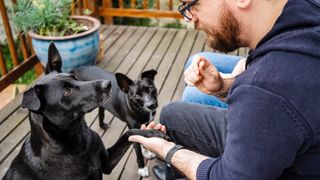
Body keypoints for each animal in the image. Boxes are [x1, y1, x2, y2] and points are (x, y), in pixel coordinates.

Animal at [3, 42, 169, 180]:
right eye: (137, 96)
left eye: (151, 89)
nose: (151, 105)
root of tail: (79, 67)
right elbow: (137, 148)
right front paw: (142, 167)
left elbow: (134, 136)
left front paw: (150, 143)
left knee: (101, 112)